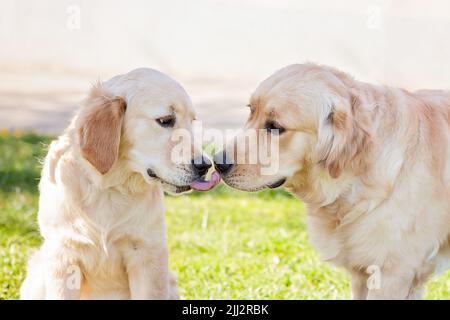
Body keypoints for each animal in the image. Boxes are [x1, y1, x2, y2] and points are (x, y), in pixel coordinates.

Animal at [20, 68, 218, 300]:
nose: (205, 166)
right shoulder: (63, 255)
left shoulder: (147, 254)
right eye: (166, 120)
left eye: (192, 121)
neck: (109, 187)